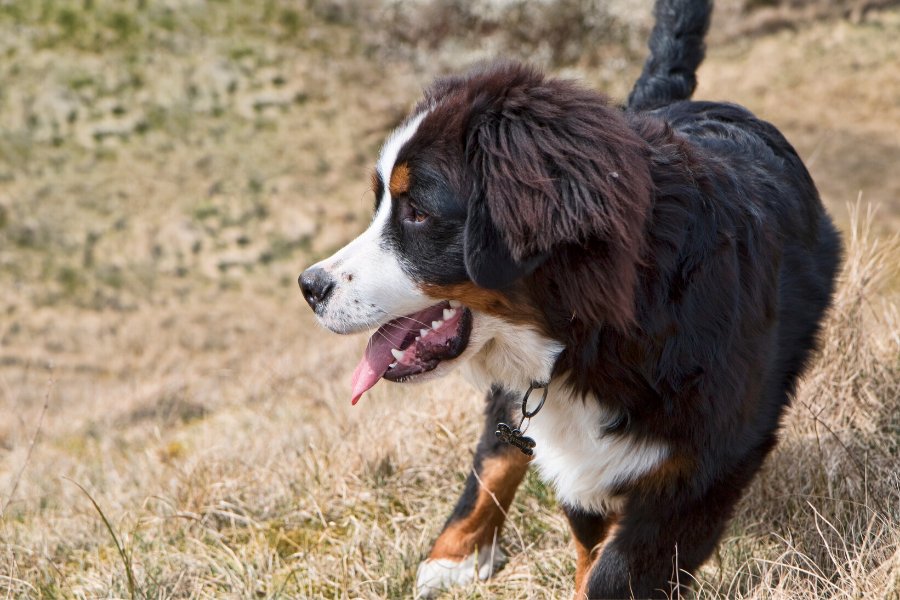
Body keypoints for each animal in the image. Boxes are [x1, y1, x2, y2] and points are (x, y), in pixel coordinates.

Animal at [298, 2, 840, 596]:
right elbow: (576, 527)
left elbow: (616, 570)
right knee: (497, 448)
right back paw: (452, 553)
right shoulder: (581, 456)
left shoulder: (704, 465)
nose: (310, 286)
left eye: (417, 210)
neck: (595, 334)